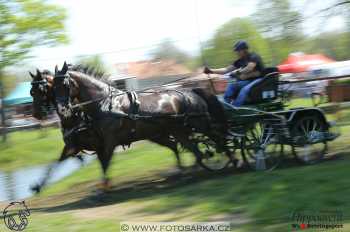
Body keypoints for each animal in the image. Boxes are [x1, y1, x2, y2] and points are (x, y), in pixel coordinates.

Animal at [52, 62, 232, 189]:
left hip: (199, 125)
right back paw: (189, 171)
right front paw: (104, 188)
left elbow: (105, 162)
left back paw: (229, 159)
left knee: (217, 139)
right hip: (174, 131)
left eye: (65, 85)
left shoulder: (109, 140)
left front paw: (104, 189)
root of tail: (191, 92)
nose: (62, 110)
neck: (106, 103)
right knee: (192, 149)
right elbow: (102, 162)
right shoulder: (99, 142)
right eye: (53, 86)